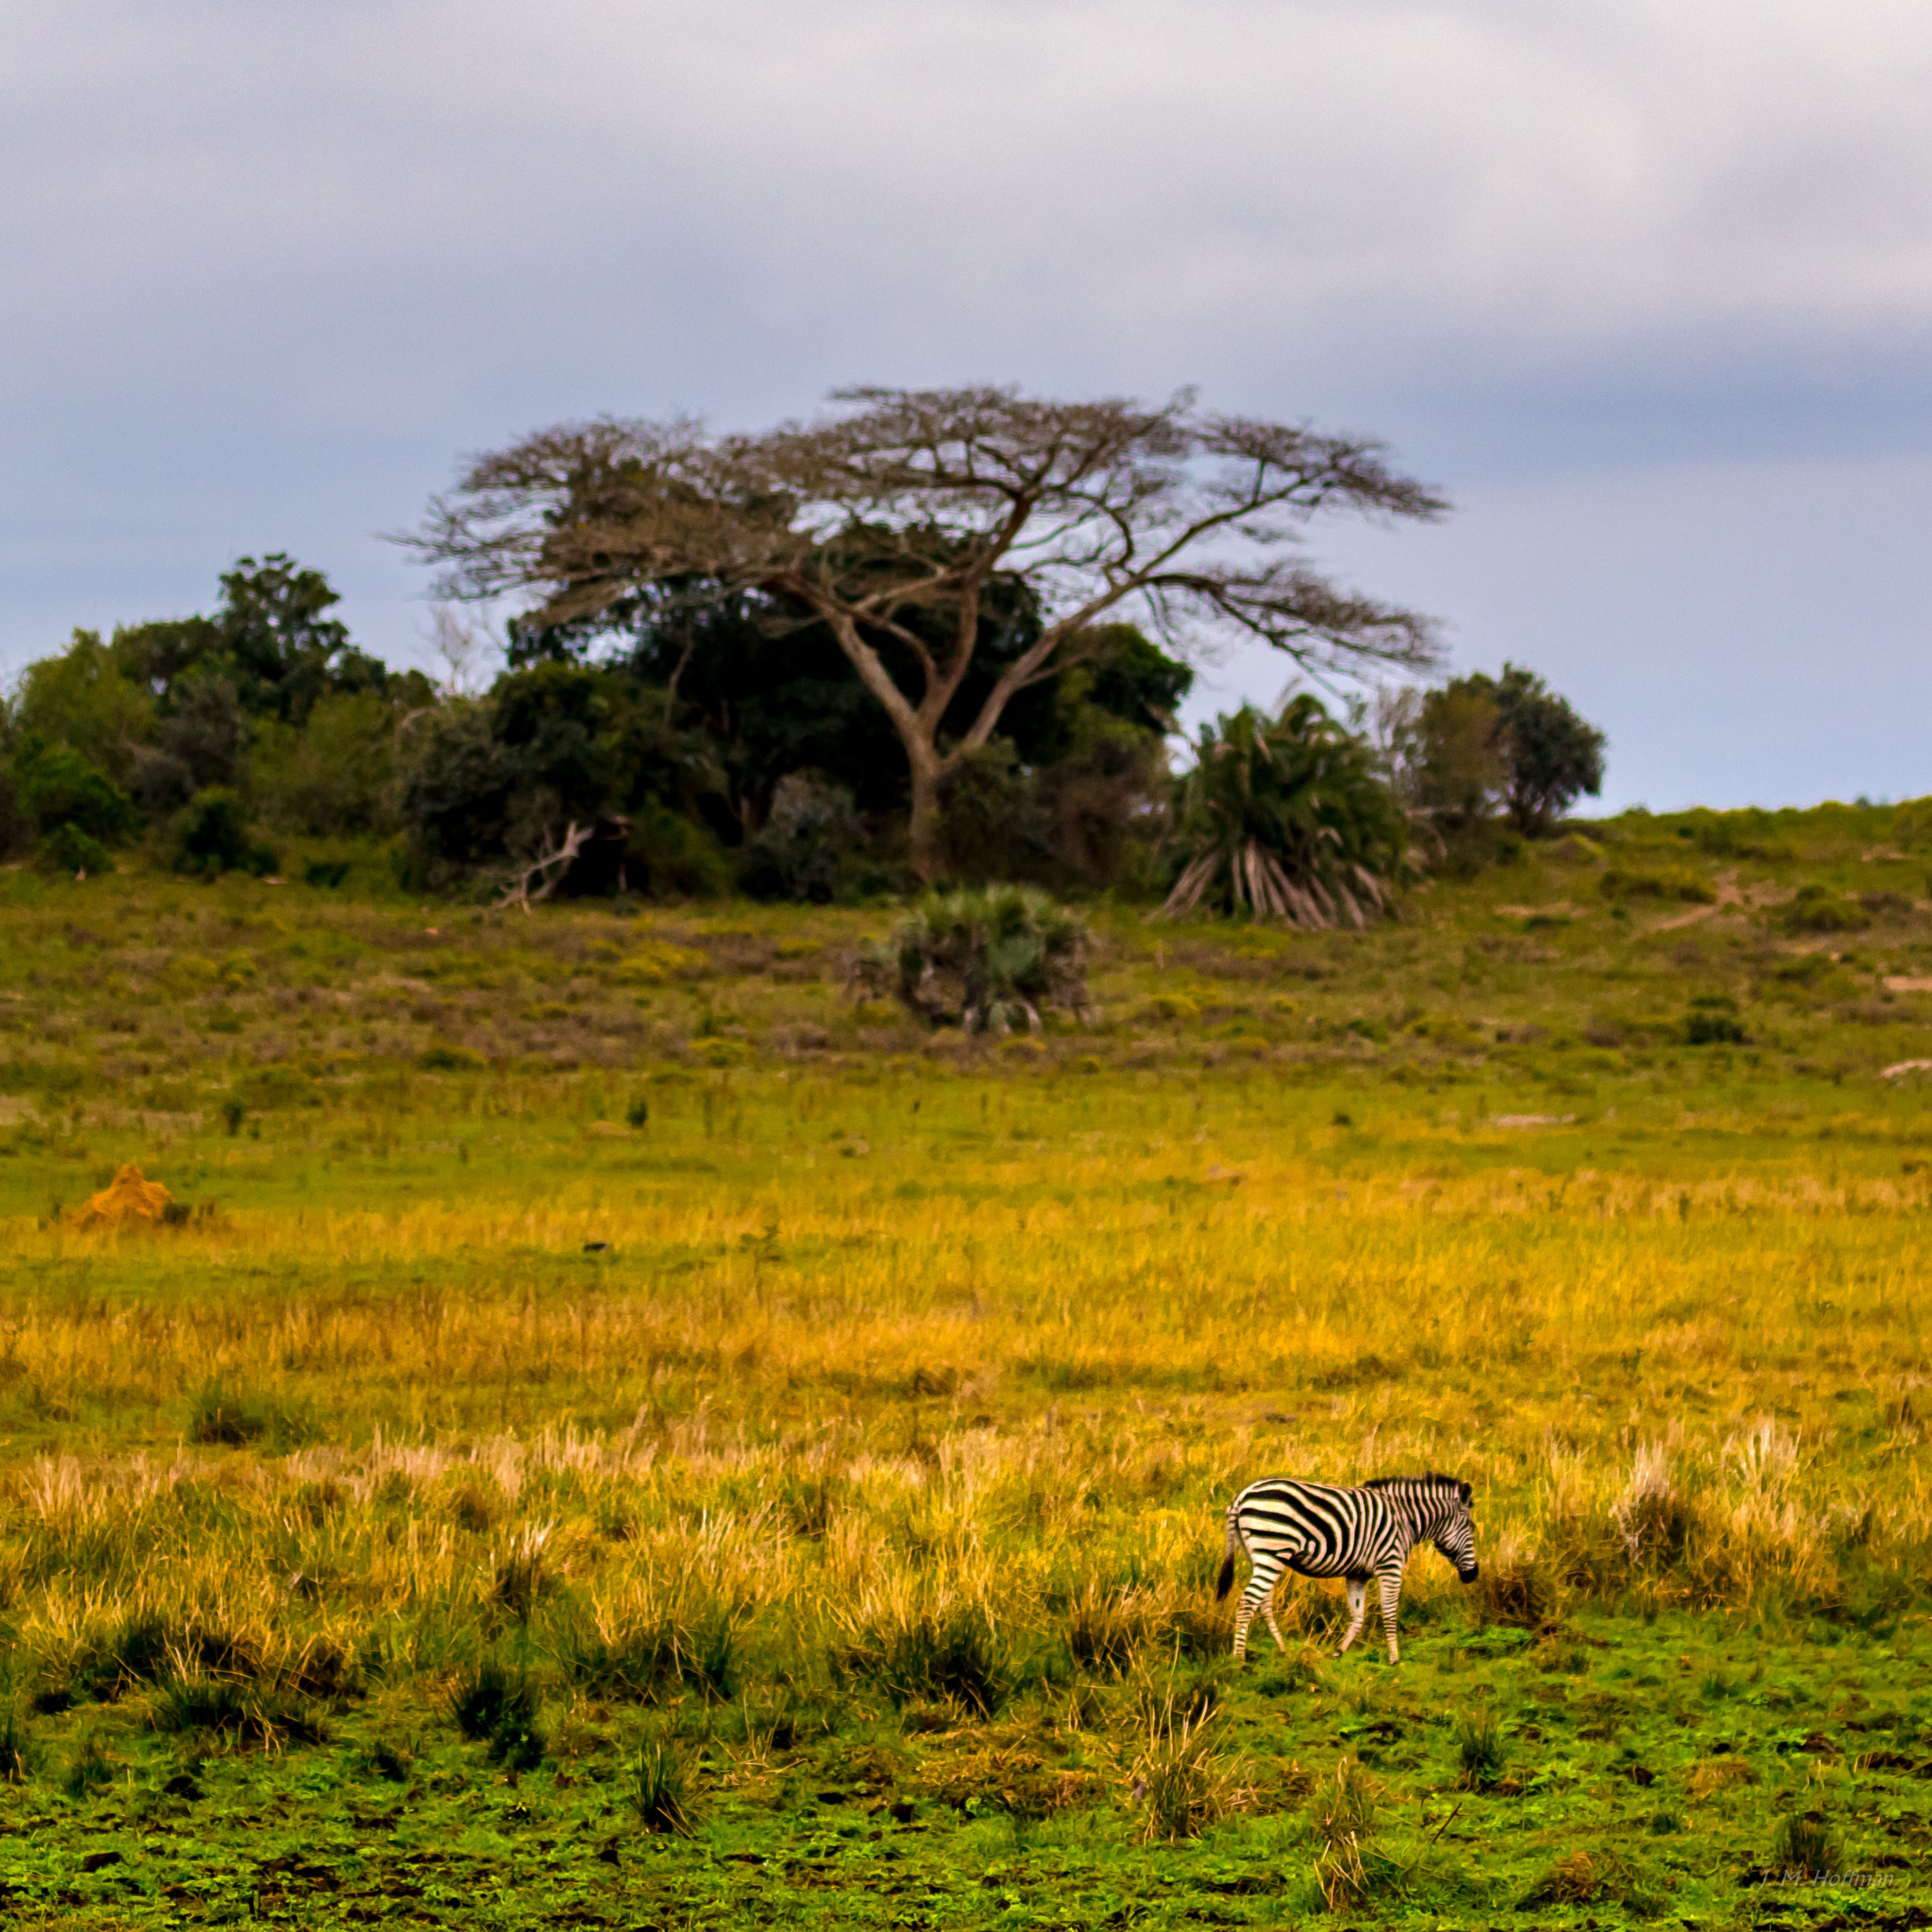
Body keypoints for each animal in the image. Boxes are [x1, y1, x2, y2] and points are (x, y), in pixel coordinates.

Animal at [1215, 1473, 1479, 1664]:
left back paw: (1280, 1649)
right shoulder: (1390, 1565)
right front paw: (1394, 1658)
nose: (1473, 1574)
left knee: (1263, 1603)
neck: (1405, 1520)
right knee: (1248, 1602)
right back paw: (1238, 1660)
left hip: (1258, 1555)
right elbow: (1390, 1613)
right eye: (1471, 1528)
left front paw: (1338, 1652)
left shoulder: (1357, 1574)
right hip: (1272, 1551)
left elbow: (1358, 1615)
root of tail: (1242, 1495)